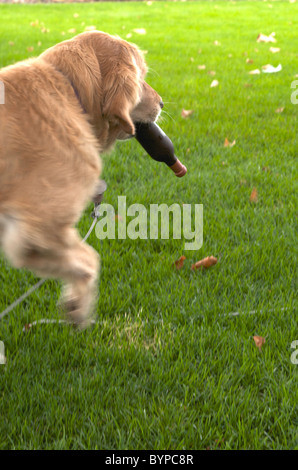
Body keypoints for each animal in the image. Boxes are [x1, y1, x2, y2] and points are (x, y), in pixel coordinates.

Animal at [0, 31, 163, 326]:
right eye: (141, 76)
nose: (162, 103)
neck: (68, 90)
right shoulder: (39, 230)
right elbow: (91, 258)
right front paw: (77, 304)